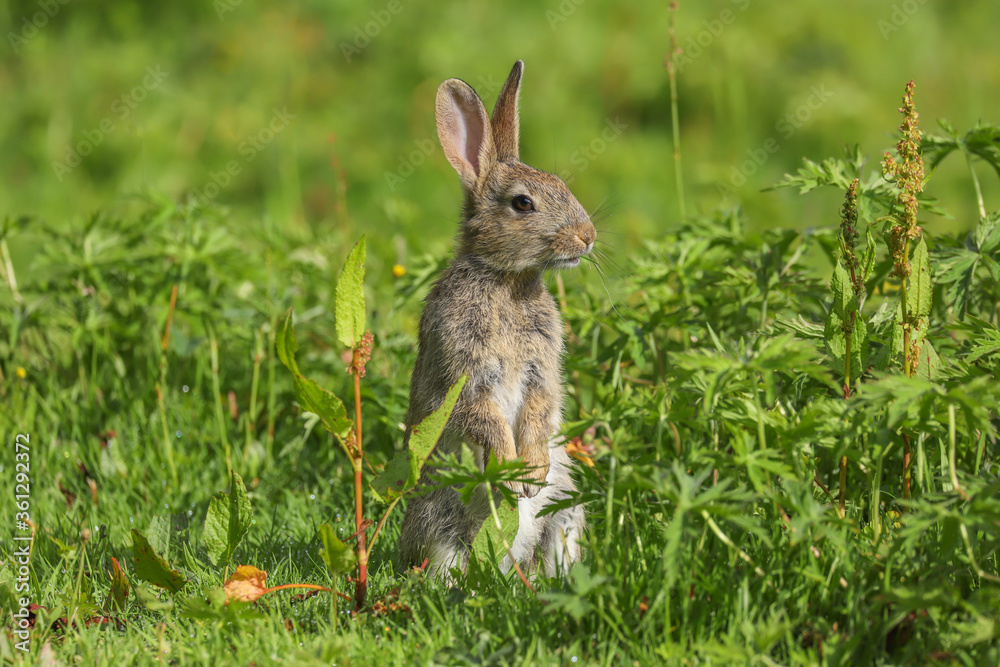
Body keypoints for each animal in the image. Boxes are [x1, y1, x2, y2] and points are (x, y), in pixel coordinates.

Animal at [398, 60, 594, 579]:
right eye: (523, 203)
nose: (587, 237)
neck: (505, 279)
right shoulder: (465, 370)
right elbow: (482, 416)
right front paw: (512, 472)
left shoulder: (541, 369)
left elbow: (541, 408)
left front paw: (531, 473)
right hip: (441, 517)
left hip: (565, 513)